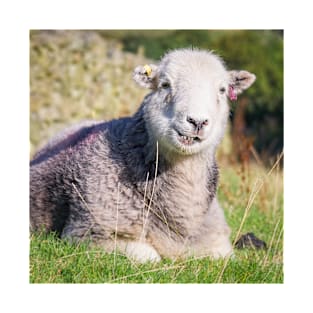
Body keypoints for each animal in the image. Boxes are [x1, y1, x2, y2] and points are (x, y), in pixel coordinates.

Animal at [29, 47, 255, 260]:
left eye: (222, 90)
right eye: (165, 84)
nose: (197, 122)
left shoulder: (218, 242)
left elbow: (225, 257)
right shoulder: (87, 232)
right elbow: (150, 257)